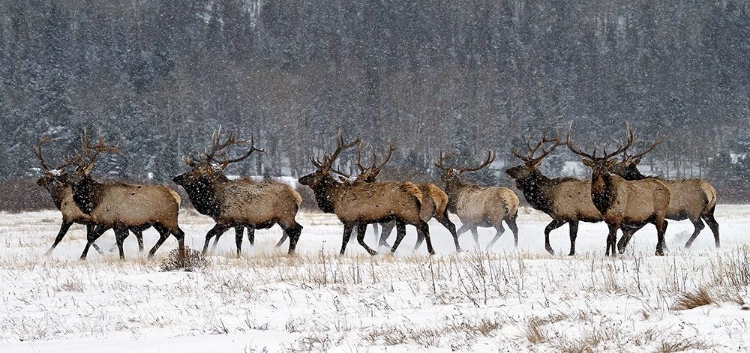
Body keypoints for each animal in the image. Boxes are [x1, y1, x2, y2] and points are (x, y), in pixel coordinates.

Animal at [172, 128, 304, 254]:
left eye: (194, 172)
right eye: (191, 169)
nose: (176, 177)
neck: (215, 202)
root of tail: (298, 196)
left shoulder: (237, 220)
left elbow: (237, 243)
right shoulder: (225, 222)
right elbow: (210, 235)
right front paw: (205, 252)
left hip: (285, 216)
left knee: (296, 230)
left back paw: (289, 253)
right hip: (285, 218)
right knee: (296, 230)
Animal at [296, 133, 434, 254]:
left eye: (314, 174)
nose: (300, 179)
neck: (334, 200)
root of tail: (415, 191)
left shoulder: (349, 219)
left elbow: (345, 241)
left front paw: (342, 255)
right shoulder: (362, 220)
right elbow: (359, 239)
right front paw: (374, 252)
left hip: (409, 212)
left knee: (424, 226)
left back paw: (431, 251)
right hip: (400, 217)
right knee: (401, 233)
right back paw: (391, 252)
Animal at [568, 125, 676, 254]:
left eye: (606, 164)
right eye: (593, 165)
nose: (599, 168)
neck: (604, 202)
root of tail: (667, 189)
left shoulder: (618, 217)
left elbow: (614, 238)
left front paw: (614, 255)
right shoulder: (607, 219)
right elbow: (609, 238)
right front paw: (607, 254)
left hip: (660, 212)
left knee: (660, 231)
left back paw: (660, 252)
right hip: (652, 216)